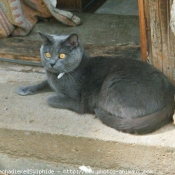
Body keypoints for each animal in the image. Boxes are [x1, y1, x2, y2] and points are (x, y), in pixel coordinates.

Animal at [17, 32, 174, 134]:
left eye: (62, 55)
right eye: (47, 54)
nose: (51, 63)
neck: (58, 77)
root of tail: (169, 93)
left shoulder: (77, 101)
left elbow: (50, 99)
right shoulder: (50, 81)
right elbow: (43, 83)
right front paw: (24, 89)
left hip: (112, 83)